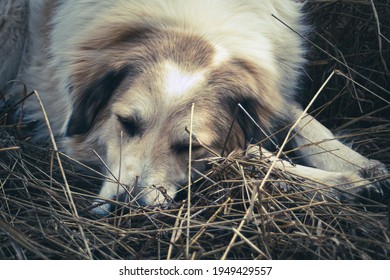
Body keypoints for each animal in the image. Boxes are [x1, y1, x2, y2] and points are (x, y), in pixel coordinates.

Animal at [1, 0, 388, 214]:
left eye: (188, 147)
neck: (193, 28)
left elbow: (296, 118)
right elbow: (251, 155)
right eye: (126, 123)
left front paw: (356, 165)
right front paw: (344, 183)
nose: (124, 210)